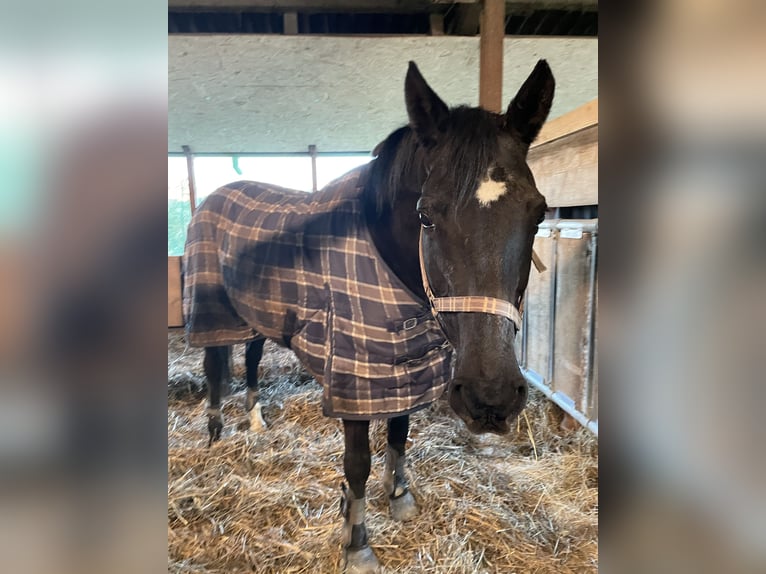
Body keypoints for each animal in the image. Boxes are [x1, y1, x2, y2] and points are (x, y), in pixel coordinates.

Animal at [183, 60, 556, 572]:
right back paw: (216, 435)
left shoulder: (406, 367)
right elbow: (356, 463)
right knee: (214, 367)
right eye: (425, 215)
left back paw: (256, 422)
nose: (491, 399)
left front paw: (399, 497)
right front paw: (357, 544)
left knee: (253, 359)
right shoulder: (353, 379)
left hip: (256, 315)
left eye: (538, 213)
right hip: (212, 310)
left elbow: (399, 432)